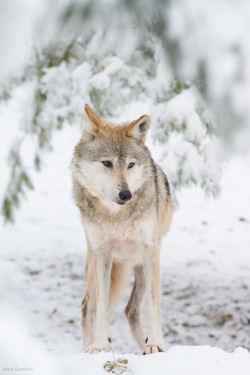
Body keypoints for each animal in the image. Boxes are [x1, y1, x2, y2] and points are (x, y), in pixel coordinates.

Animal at [69, 105, 173, 356]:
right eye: (107, 163)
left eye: (131, 165)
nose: (126, 194)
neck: (117, 217)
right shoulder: (102, 254)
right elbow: (102, 308)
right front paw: (99, 346)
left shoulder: (150, 251)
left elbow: (153, 307)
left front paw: (156, 344)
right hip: (96, 268)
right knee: (87, 306)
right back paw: (89, 346)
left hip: (143, 268)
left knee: (131, 310)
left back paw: (145, 344)